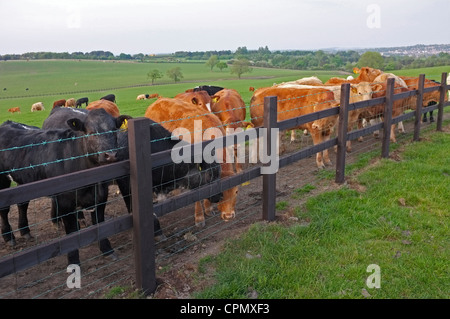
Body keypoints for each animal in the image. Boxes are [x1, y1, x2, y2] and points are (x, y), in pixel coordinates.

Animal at [0, 108, 126, 264]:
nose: (111, 155)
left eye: (114, 130)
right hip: (2, 181)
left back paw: (25, 231)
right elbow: (71, 234)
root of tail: (7, 123)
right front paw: (73, 261)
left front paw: (107, 250)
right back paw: (8, 237)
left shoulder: (101, 196)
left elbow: (100, 225)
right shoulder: (65, 203)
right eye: (91, 132)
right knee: (4, 209)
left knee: (22, 204)